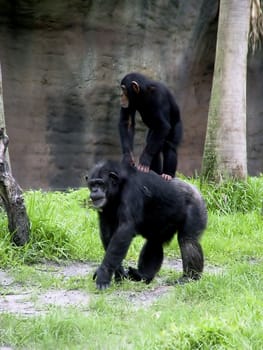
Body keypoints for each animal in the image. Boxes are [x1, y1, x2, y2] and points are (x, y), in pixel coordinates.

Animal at [87, 159, 207, 290]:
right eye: (92, 184)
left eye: (100, 183)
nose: (95, 191)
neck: (120, 185)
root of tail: (196, 189)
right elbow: (108, 231)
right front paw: (119, 272)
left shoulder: (132, 191)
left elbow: (124, 229)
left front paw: (103, 274)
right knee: (155, 242)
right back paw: (143, 275)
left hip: (196, 206)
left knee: (188, 241)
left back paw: (190, 277)